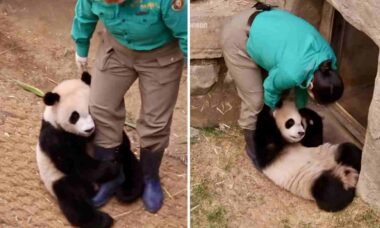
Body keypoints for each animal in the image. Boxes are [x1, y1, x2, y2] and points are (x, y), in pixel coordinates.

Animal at [36, 72, 143, 228]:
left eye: (91, 110)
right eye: (74, 116)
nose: (89, 129)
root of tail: (94, 188)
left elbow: (120, 140)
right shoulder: (53, 135)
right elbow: (74, 163)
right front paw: (111, 167)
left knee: (132, 166)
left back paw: (127, 192)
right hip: (59, 179)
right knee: (73, 201)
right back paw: (103, 220)